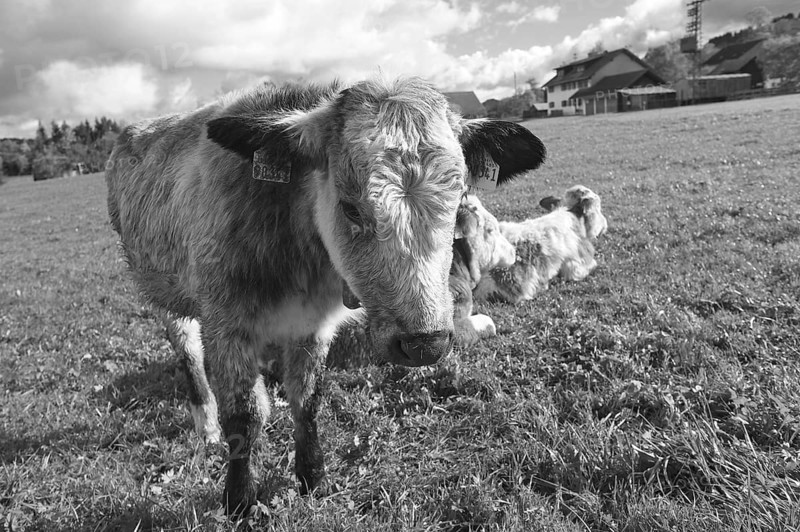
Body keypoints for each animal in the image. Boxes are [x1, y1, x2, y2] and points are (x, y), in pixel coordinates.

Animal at [105, 76, 546, 515]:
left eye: (456, 209)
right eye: (350, 209)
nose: (425, 343)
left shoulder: (312, 326)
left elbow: (307, 398)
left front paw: (311, 476)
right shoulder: (226, 324)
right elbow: (245, 414)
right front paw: (239, 499)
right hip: (166, 296)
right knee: (189, 353)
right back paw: (206, 424)